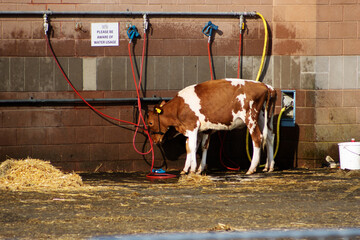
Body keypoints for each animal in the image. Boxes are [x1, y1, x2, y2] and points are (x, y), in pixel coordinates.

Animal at [148, 79, 278, 174]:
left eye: (150, 123)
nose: (154, 140)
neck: (179, 107)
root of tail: (265, 86)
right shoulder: (202, 130)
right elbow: (196, 147)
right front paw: (191, 169)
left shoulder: (192, 127)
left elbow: (192, 147)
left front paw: (193, 169)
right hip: (264, 117)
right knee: (270, 136)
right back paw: (269, 166)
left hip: (250, 117)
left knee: (257, 138)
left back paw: (251, 169)